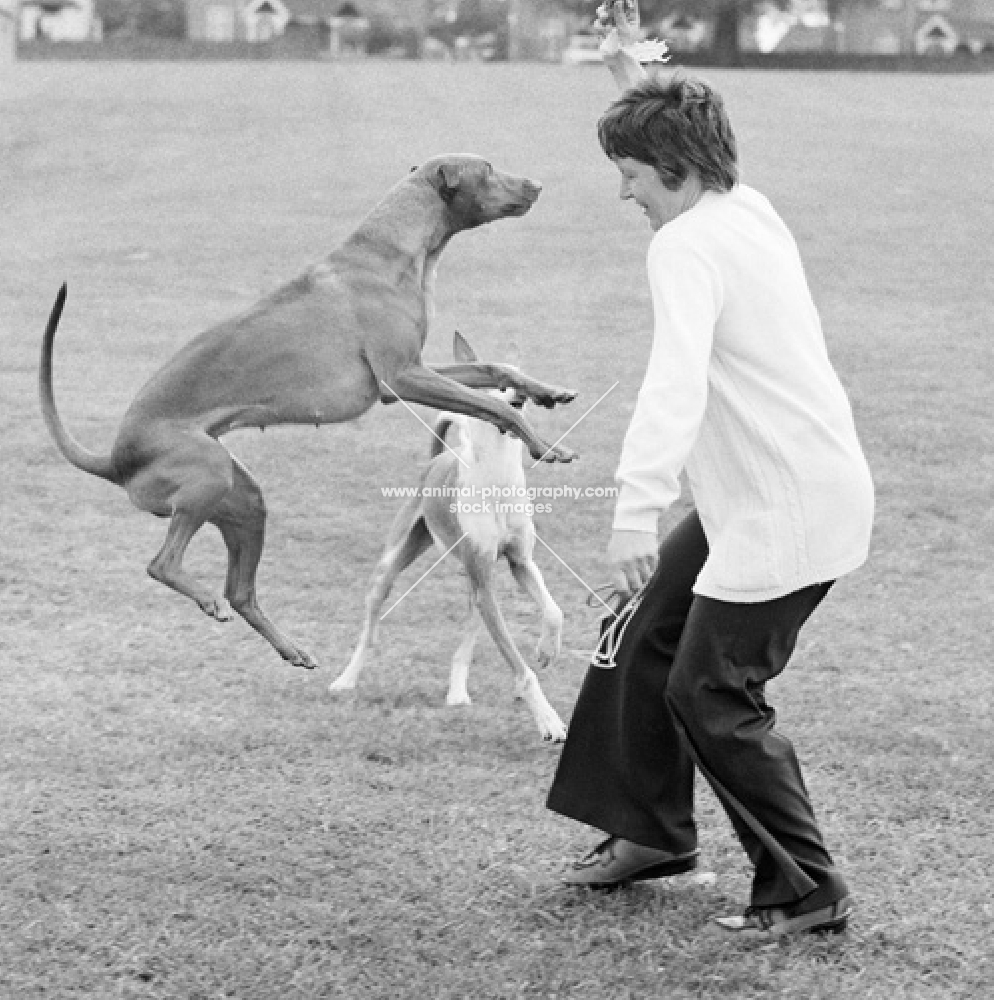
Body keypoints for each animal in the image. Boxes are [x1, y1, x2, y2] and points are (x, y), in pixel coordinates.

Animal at [38, 154, 576, 672]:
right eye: (487, 170)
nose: (538, 184)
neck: (392, 252)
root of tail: (114, 458)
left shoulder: (417, 369)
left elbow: (496, 369)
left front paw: (548, 394)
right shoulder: (400, 379)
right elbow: (492, 402)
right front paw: (542, 444)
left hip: (244, 499)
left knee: (242, 590)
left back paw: (291, 649)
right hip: (208, 472)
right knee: (163, 564)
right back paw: (209, 601)